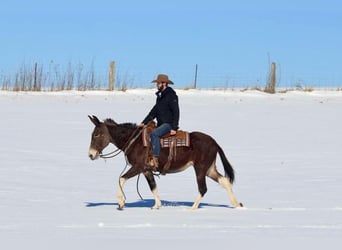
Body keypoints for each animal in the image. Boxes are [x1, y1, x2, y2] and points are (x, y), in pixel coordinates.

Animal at [88, 115, 243, 209]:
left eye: (97, 134)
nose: (90, 154)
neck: (135, 141)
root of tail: (214, 142)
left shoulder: (138, 167)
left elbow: (121, 178)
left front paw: (121, 202)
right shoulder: (146, 170)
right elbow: (153, 187)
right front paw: (156, 205)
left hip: (200, 169)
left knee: (203, 188)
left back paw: (192, 209)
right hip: (209, 169)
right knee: (225, 181)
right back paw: (237, 204)